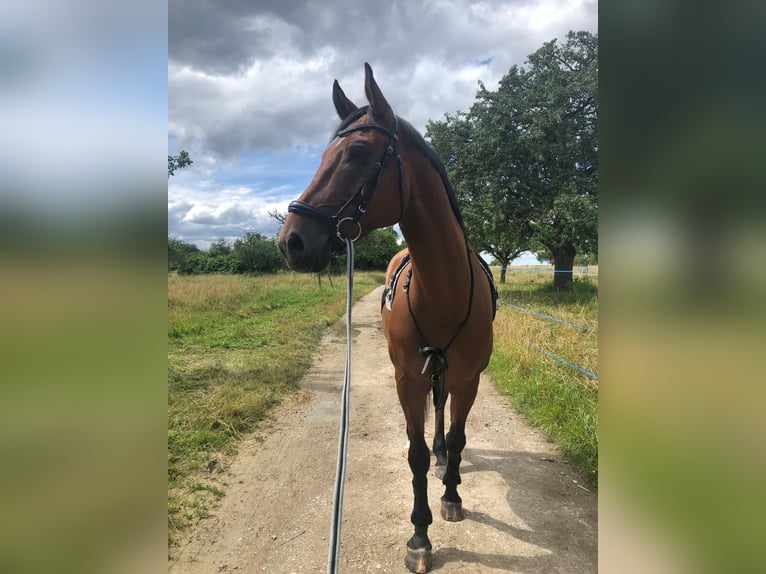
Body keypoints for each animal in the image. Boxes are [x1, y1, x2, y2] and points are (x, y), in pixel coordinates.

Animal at [280, 65, 500, 572]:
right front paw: (420, 535)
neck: (442, 289)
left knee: (444, 418)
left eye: (358, 152)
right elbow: (415, 455)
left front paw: (452, 495)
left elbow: (458, 437)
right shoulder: (408, 380)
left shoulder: (469, 379)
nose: (291, 241)